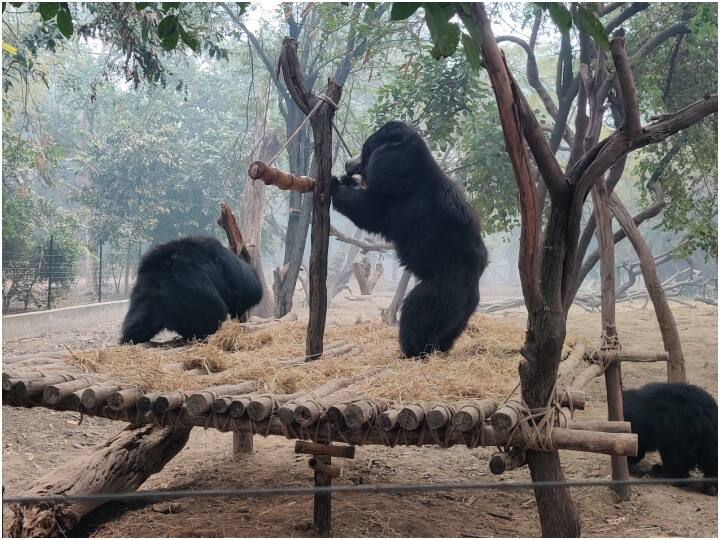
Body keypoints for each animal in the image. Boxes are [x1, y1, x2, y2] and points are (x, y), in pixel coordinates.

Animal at [331, 121, 488, 358]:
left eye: (366, 151)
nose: (348, 163)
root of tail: (472, 288)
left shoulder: (407, 202)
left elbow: (370, 210)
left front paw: (333, 184)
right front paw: (346, 180)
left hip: (439, 291)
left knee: (417, 315)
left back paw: (411, 351)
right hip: (460, 313)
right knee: (448, 332)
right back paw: (438, 349)